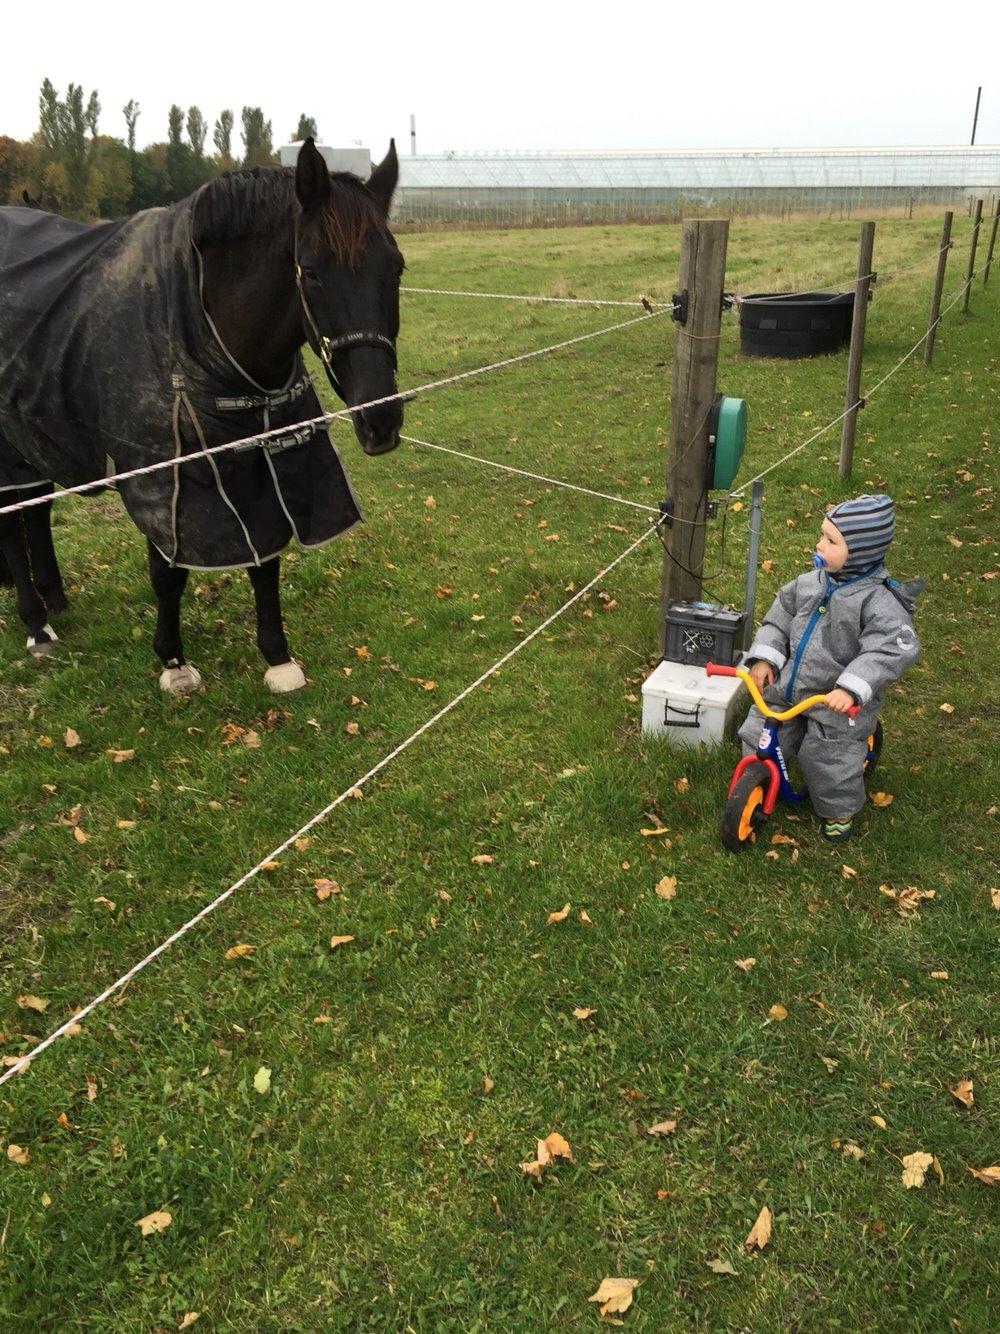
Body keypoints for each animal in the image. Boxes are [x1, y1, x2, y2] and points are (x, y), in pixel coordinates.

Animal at [1, 139, 408, 693]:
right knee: (13, 519)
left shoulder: (258, 459)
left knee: (35, 509)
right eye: (313, 271)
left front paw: (278, 658)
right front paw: (173, 661)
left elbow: (265, 557)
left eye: (397, 268)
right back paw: (36, 624)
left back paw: (55, 601)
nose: (380, 419)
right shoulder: (165, 476)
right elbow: (168, 572)